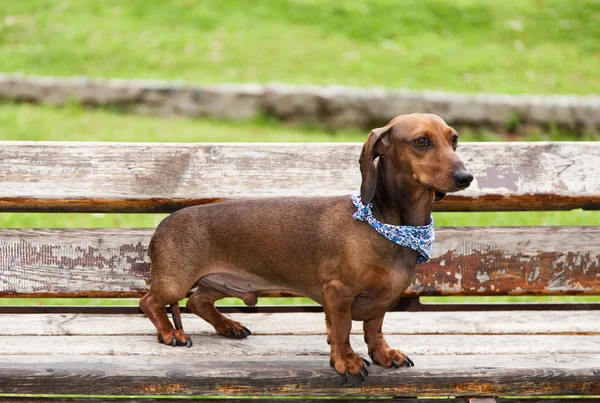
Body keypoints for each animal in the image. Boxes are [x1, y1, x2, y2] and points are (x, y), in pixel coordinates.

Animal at [141, 113, 474, 382]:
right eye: (421, 142)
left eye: (454, 139)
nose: (466, 177)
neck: (386, 221)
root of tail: (163, 223)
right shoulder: (337, 291)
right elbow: (342, 329)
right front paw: (346, 361)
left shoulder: (383, 297)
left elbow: (374, 327)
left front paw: (383, 353)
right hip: (175, 282)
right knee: (150, 302)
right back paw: (170, 332)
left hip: (220, 282)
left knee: (197, 302)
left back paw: (228, 325)